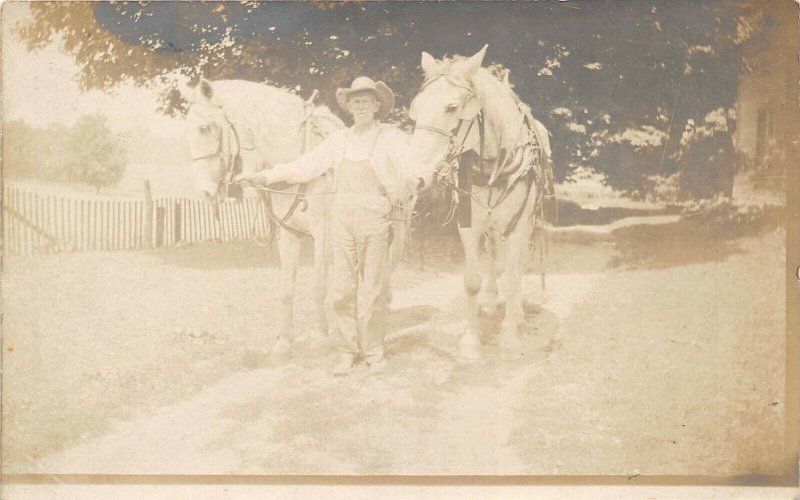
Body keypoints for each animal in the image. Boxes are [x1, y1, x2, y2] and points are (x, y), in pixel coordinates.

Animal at [410, 46, 552, 360]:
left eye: (452, 108)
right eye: (416, 107)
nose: (413, 176)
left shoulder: (518, 225)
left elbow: (511, 278)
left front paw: (510, 338)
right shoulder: (469, 224)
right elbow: (472, 281)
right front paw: (470, 342)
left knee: (517, 265)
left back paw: (518, 314)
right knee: (494, 254)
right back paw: (489, 301)